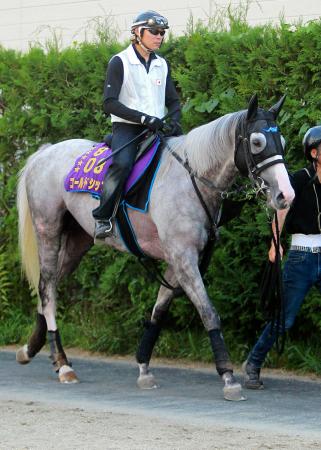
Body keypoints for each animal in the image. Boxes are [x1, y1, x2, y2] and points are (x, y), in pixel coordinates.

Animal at [16, 95, 294, 400]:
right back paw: (63, 363)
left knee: (49, 286)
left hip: (78, 241)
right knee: (47, 288)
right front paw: (228, 376)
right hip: (48, 230)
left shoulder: (178, 262)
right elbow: (208, 312)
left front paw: (143, 368)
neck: (191, 180)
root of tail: (45, 152)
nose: (285, 195)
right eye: (257, 142)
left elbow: (158, 313)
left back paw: (31, 349)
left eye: (281, 140)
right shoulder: (184, 260)